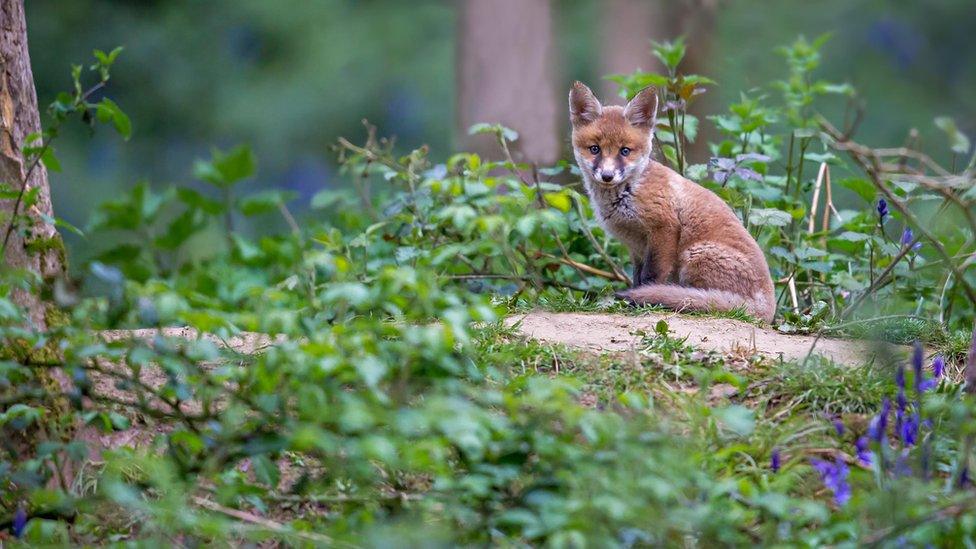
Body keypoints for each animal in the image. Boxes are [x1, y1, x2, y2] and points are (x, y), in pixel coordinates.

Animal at [568, 81, 776, 323]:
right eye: (595, 149)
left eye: (625, 151)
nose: (607, 176)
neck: (629, 193)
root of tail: (768, 309)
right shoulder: (636, 247)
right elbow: (637, 277)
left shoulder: (663, 229)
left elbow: (651, 277)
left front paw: (640, 302)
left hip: (693, 255)